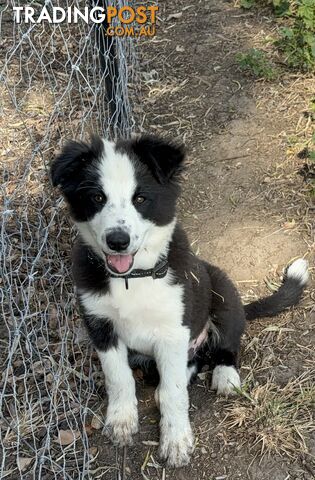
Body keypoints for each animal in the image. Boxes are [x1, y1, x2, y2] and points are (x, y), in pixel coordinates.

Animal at [50, 135, 310, 464]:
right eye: (97, 198)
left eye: (140, 199)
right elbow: (118, 376)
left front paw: (176, 441)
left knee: (225, 345)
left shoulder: (173, 331)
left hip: (223, 293)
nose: (118, 241)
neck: (133, 278)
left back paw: (225, 375)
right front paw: (121, 421)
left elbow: (175, 392)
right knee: (188, 364)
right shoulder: (100, 326)